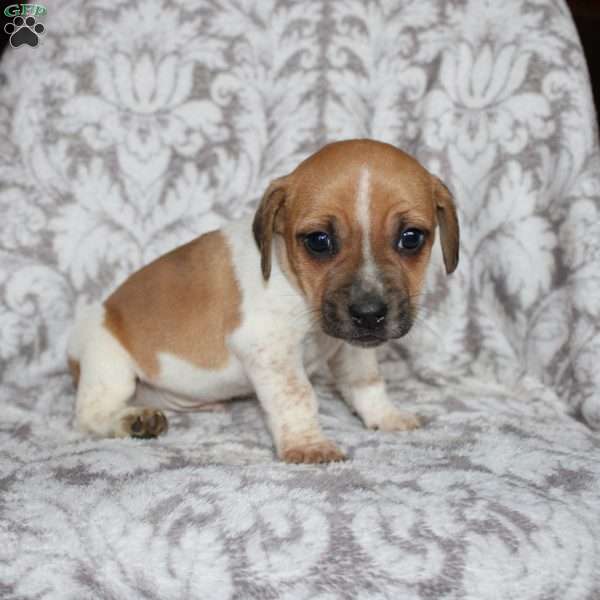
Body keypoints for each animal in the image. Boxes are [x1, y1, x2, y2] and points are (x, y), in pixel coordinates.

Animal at [67, 141, 460, 464]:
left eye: (411, 238)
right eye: (319, 241)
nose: (369, 313)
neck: (294, 283)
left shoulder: (353, 348)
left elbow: (367, 383)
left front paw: (385, 416)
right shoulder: (270, 351)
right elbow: (297, 395)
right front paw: (307, 444)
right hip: (110, 364)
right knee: (90, 415)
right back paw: (133, 420)